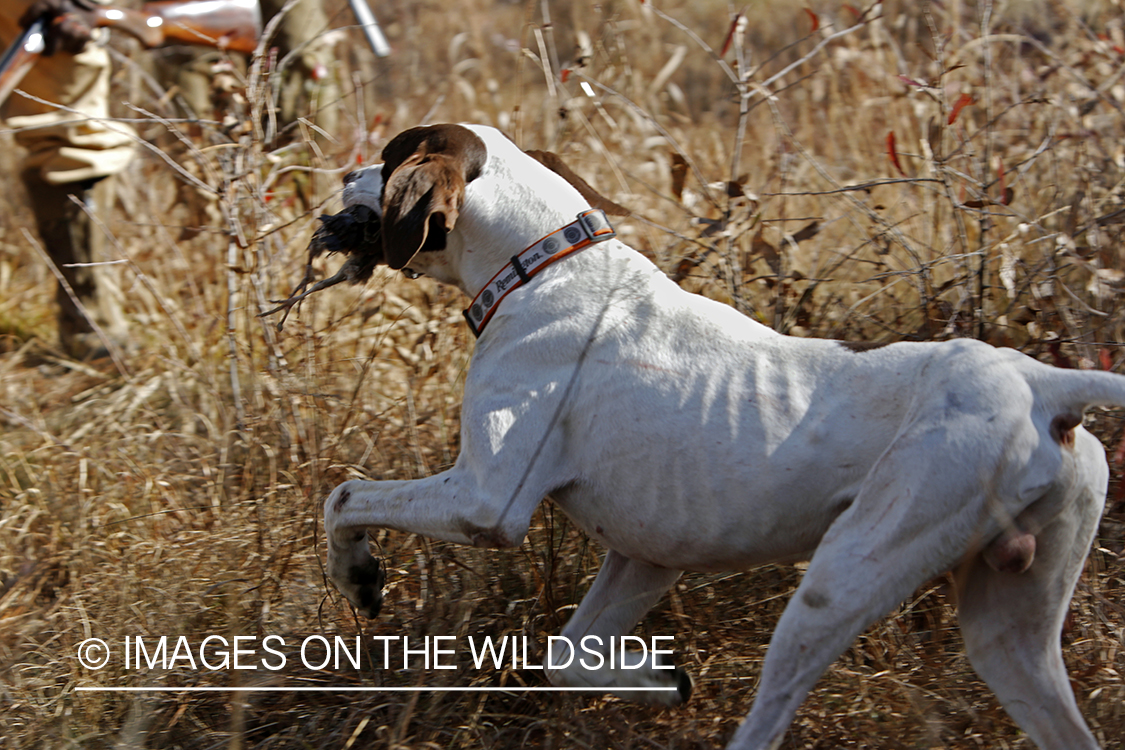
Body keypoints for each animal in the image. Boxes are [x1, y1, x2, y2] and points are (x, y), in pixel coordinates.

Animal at [301, 120, 1125, 746]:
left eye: (386, 159)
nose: (342, 173)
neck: (541, 266)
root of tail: (1043, 384)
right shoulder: (645, 557)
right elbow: (567, 658)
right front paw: (657, 682)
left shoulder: (484, 500)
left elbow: (344, 497)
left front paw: (358, 573)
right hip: (1008, 635)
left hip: (838, 585)